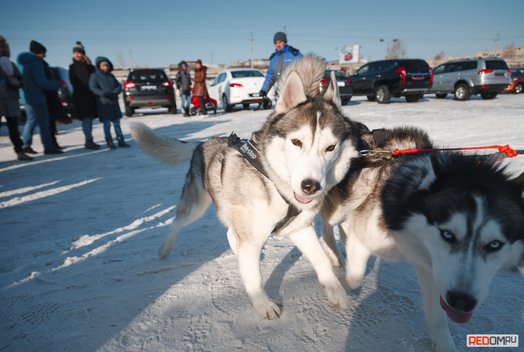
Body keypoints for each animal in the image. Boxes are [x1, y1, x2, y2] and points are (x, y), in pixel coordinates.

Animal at [130, 57, 364, 320]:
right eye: (296, 142)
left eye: (330, 147)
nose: (310, 186)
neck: (274, 183)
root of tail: (202, 143)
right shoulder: (253, 237)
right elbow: (254, 277)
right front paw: (262, 304)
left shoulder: (299, 228)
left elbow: (322, 260)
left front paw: (336, 292)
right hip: (196, 207)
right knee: (177, 223)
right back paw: (164, 249)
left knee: (231, 235)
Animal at [322, 127, 524, 352]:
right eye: (447, 234)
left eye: (495, 244)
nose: (462, 302)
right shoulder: (365, 236)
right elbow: (354, 277)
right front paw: (338, 289)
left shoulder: (435, 268)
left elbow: (438, 314)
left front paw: (444, 344)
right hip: (338, 207)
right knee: (326, 226)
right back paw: (332, 254)